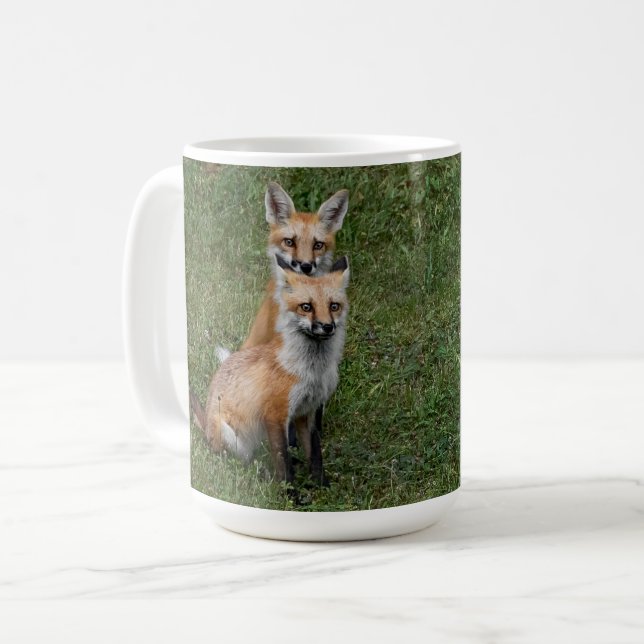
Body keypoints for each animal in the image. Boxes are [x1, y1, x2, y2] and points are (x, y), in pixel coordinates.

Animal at [191, 253, 350, 485]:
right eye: (306, 307)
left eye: (334, 306)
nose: (327, 326)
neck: (312, 372)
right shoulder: (275, 415)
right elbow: (283, 461)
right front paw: (290, 492)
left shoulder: (308, 411)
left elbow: (315, 454)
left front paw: (322, 485)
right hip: (233, 439)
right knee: (244, 463)